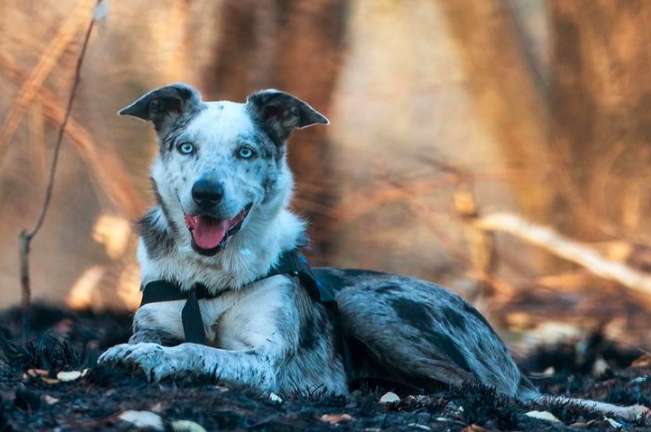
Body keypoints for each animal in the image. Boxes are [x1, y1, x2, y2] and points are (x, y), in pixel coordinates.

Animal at [99, 82, 648, 420]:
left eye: (246, 152)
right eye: (185, 147)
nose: (207, 194)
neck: (211, 277)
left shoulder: (265, 361)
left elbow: (198, 349)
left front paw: (150, 357)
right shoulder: (159, 318)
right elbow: (161, 339)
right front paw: (137, 349)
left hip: (366, 305)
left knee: (489, 390)